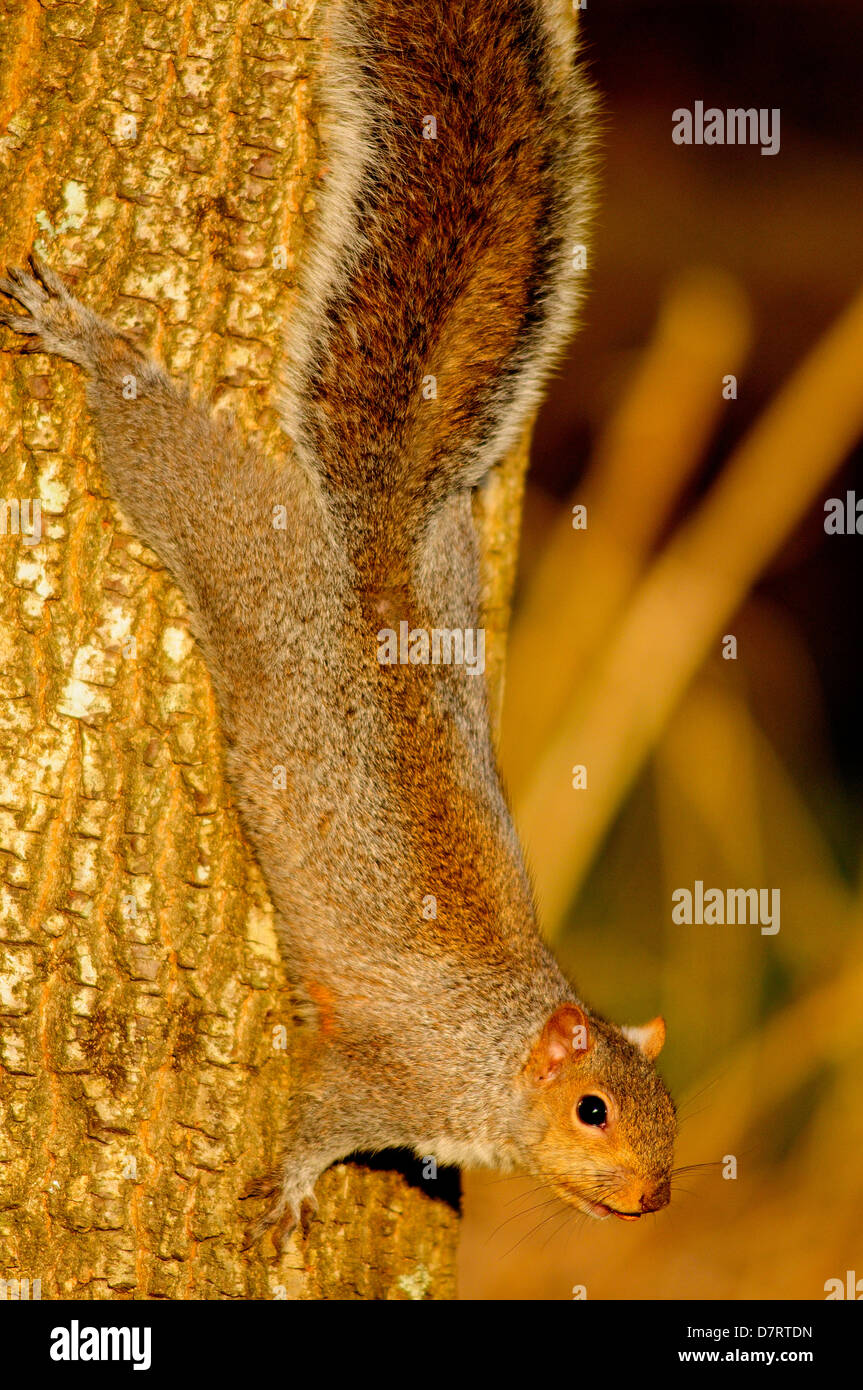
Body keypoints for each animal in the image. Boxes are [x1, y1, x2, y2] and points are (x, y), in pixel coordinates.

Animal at [0, 0, 672, 1245]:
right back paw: (93, 344)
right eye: (594, 1109)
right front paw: (291, 1190)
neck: (499, 1049)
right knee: (161, 449)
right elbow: (319, 1116)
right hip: (239, 549)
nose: (652, 1196)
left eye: (672, 1114)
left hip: (450, 574)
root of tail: (377, 535)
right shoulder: (385, 1074)